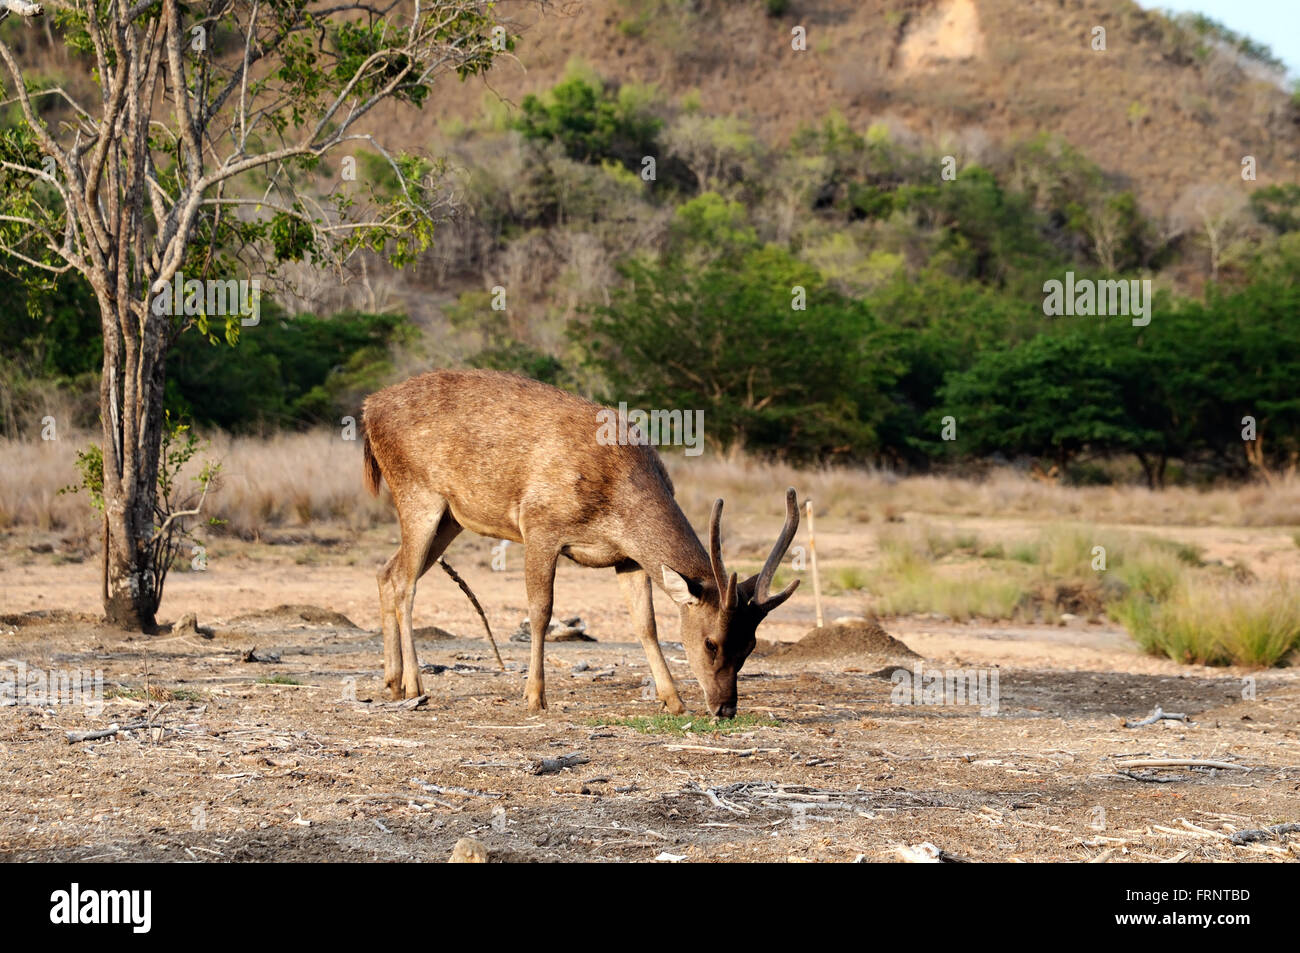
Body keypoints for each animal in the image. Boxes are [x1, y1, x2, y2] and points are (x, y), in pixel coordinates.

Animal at [361, 369, 801, 716]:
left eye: (751, 644)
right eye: (711, 643)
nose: (725, 708)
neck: (614, 500)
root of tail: (368, 409)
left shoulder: (628, 557)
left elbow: (646, 624)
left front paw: (673, 701)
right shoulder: (539, 525)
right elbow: (541, 611)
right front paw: (534, 697)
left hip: (450, 518)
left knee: (386, 572)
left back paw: (393, 682)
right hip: (417, 493)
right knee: (404, 581)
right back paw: (416, 685)